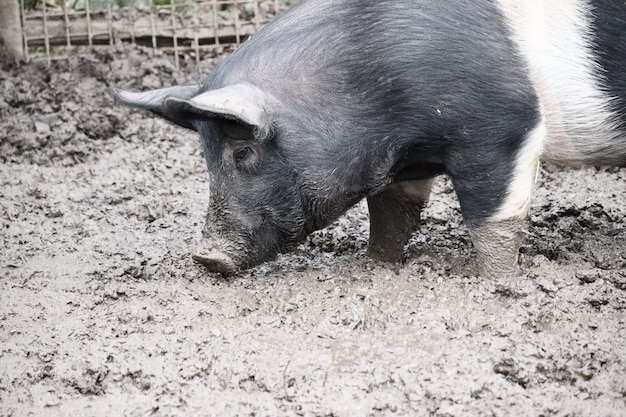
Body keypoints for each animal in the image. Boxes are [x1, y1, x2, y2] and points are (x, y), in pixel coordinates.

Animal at [109, 1, 620, 278]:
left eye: (242, 151)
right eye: (206, 156)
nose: (206, 256)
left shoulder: (501, 128)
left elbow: (493, 218)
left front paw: (500, 283)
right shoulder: (406, 161)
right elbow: (391, 215)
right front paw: (374, 265)